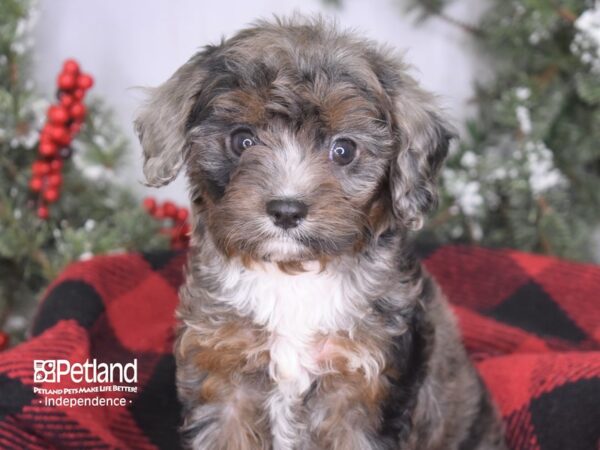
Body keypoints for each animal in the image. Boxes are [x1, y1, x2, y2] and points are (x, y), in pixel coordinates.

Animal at [136, 15, 506, 448]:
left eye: (344, 150)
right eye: (242, 140)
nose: (286, 210)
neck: (294, 275)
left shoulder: (363, 394)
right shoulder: (223, 378)